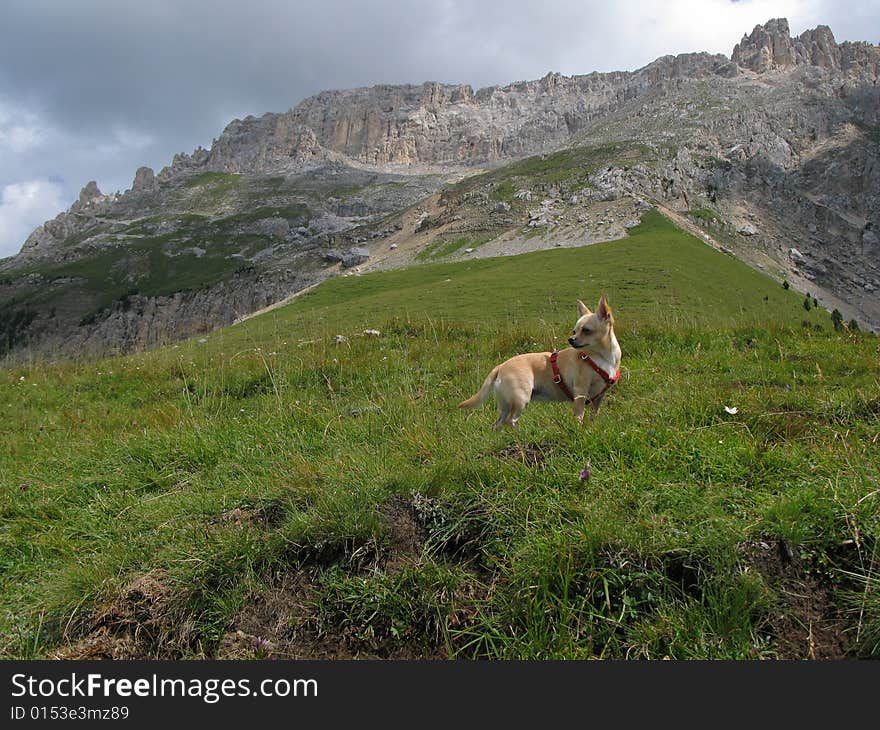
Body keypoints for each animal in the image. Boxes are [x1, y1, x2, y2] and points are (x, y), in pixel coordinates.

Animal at [460, 298, 620, 426]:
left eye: (586, 330)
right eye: (574, 331)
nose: (570, 339)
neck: (602, 357)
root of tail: (500, 367)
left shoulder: (598, 397)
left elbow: (594, 415)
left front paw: (593, 427)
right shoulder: (580, 392)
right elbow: (579, 415)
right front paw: (579, 429)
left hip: (506, 405)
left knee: (499, 423)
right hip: (520, 399)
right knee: (511, 420)